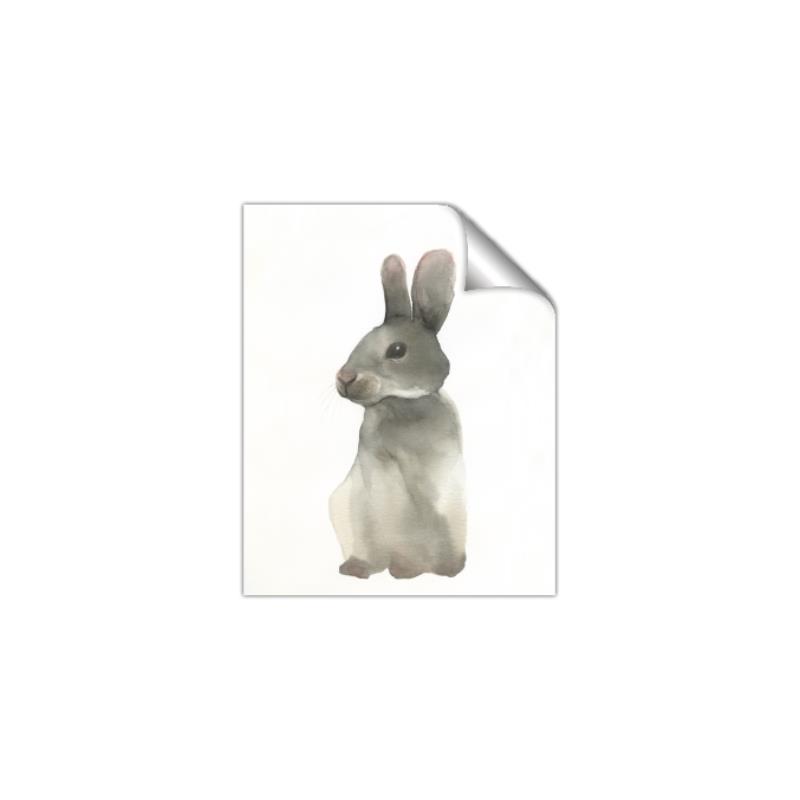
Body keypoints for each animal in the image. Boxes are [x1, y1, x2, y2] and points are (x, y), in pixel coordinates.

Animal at [329, 249, 466, 579]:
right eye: (361, 340)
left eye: (397, 350)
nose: (344, 378)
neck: (400, 405)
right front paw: (399, 569)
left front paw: (419, 569)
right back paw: (357, 568)